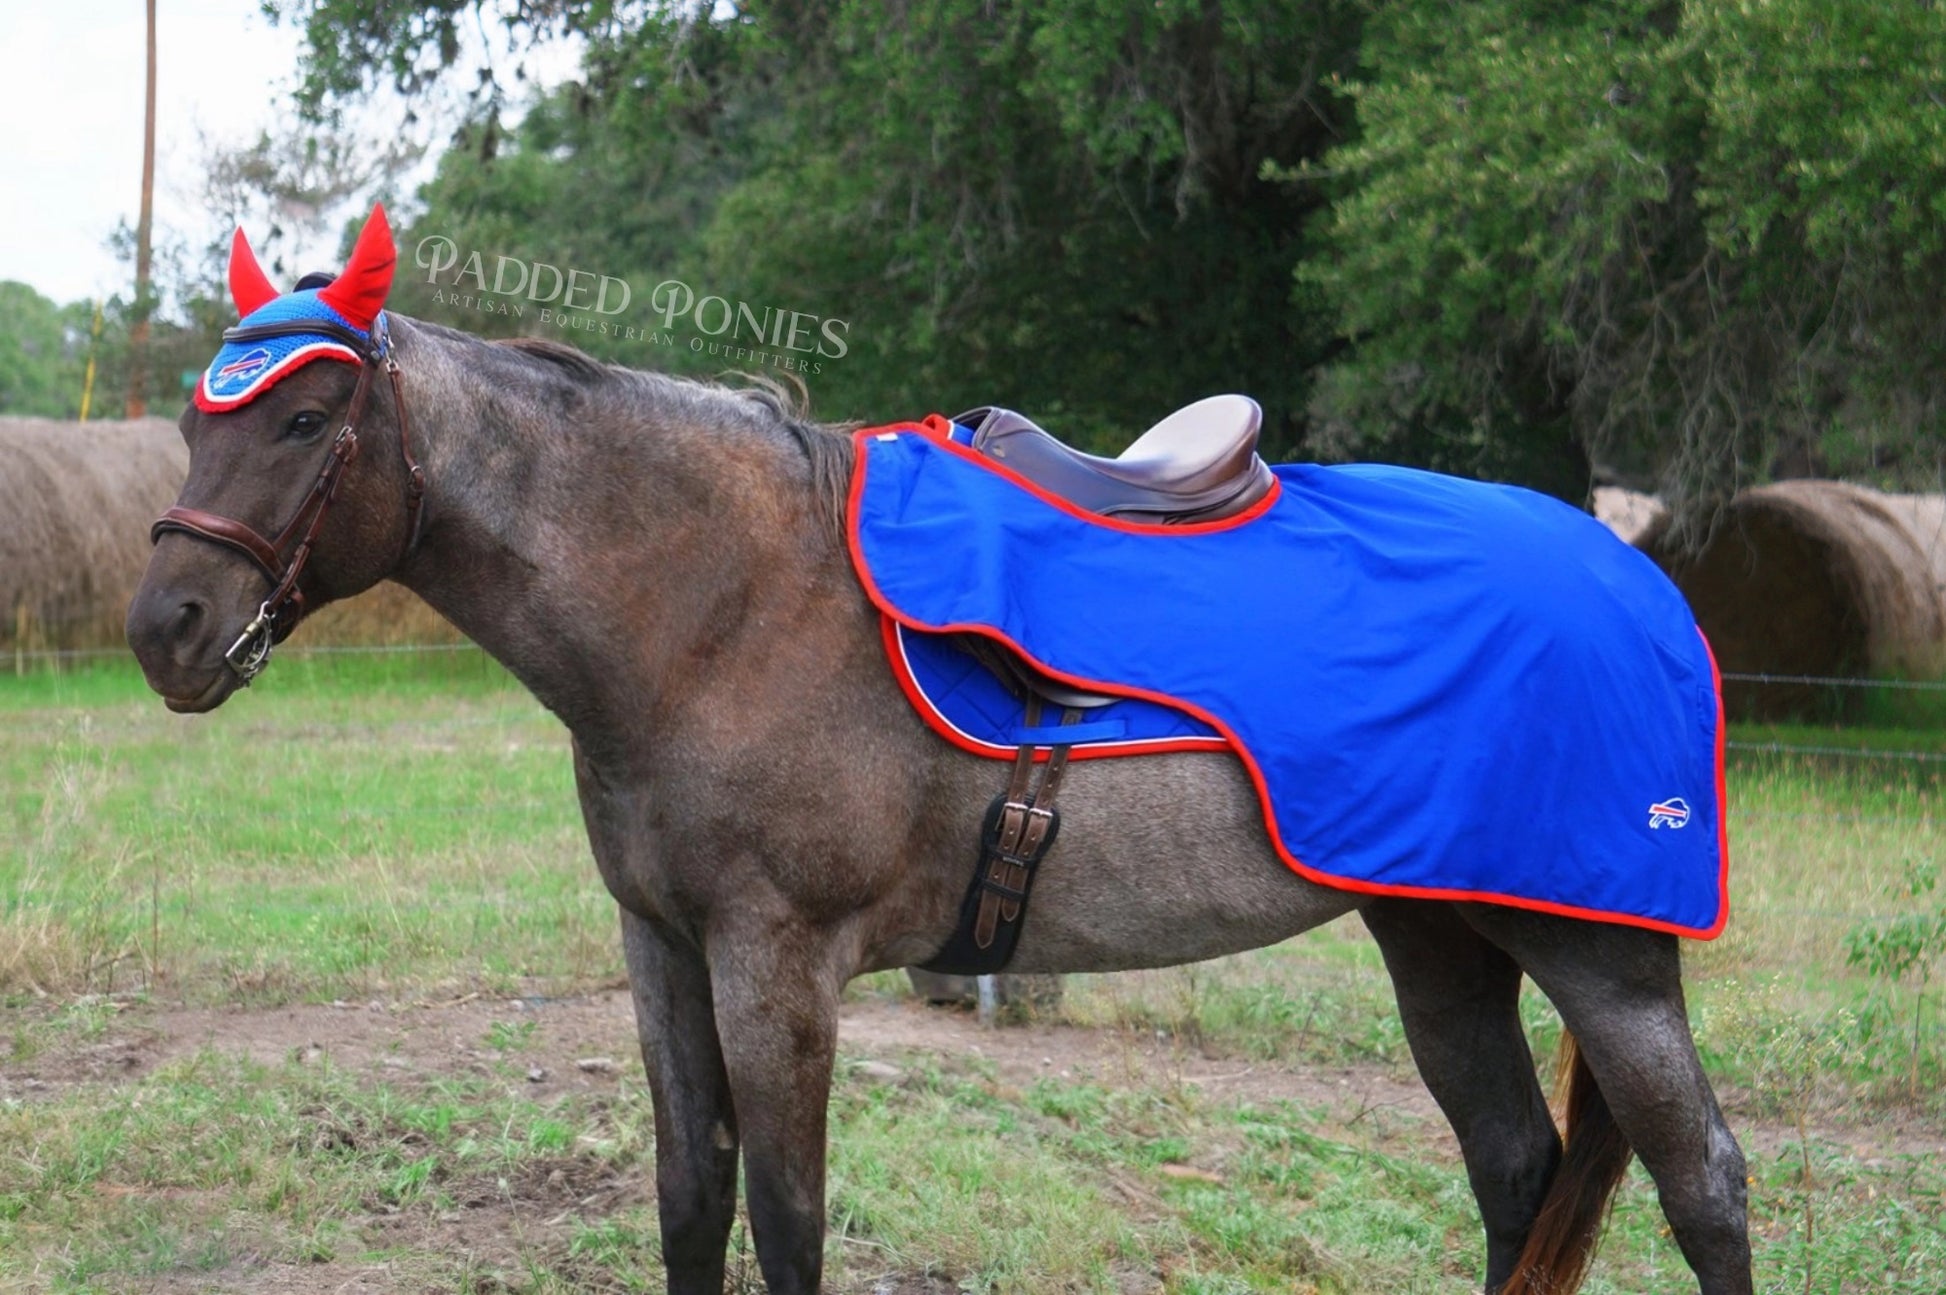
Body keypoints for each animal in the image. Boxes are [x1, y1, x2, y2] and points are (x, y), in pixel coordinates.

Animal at [129, 214, 1759, 1293]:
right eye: (199, 417)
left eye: (310, 412)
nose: (164, 625)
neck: (726, 601)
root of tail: (1633, 570)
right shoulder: (661, 944)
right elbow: (688, 1195)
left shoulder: (776, 961)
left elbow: (786, 1218)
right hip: (1438, 934)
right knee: (1515, 1170)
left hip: (1599, 951)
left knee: (1701, 1181)